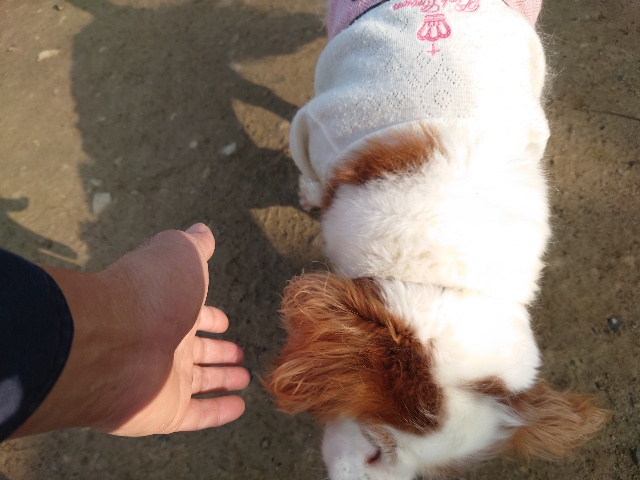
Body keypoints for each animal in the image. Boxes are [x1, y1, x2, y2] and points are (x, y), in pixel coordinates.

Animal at [265, 0, 608, 478]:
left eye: (422, 474)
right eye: (375, 448)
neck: (448, 265)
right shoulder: (318, 125)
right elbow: (308, 159)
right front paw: (311, 192)